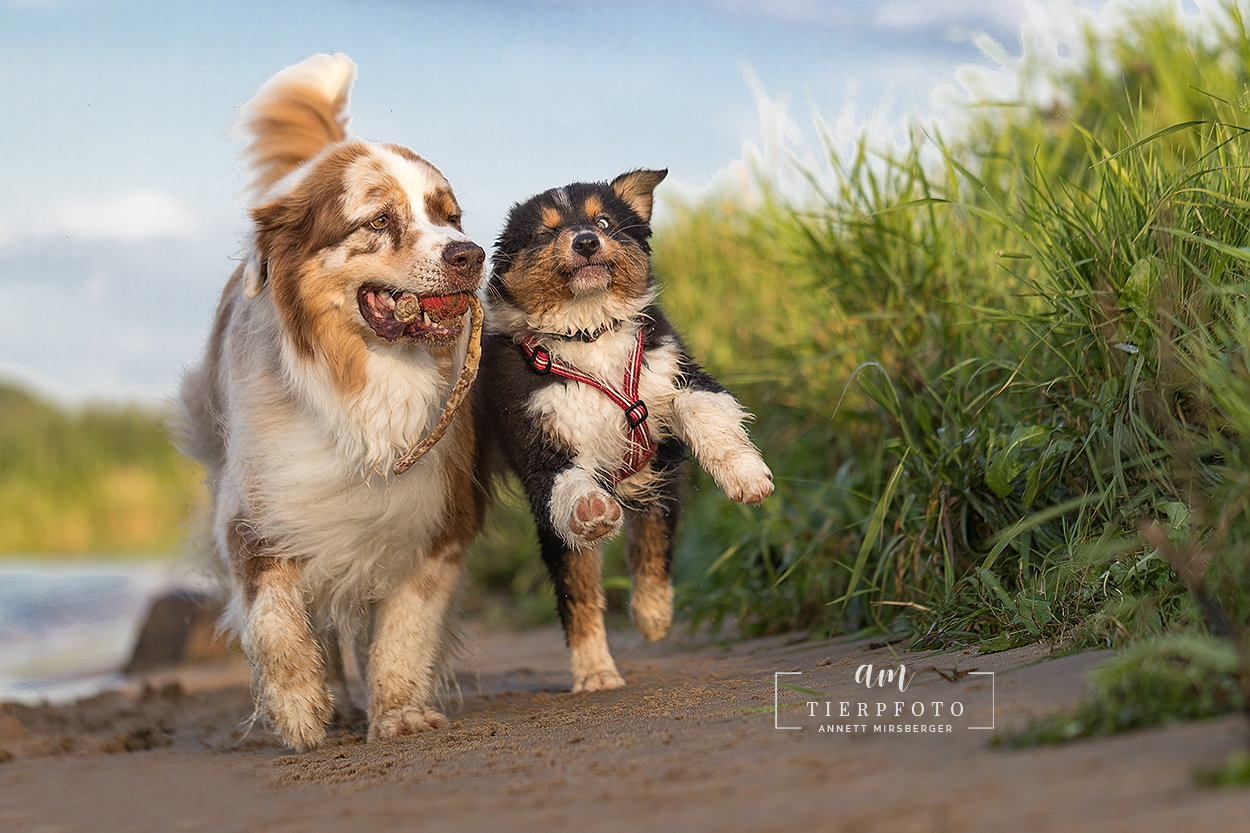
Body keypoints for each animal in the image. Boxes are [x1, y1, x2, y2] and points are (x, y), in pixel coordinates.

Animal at [178, 55, 485, 750]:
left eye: (450, 218)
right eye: (379, 220)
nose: (471, 254)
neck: (365, 386)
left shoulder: (434, 514)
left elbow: (405, 628)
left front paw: (398, 711)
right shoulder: (261, 503)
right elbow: (273, 616)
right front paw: (297, 706)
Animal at [480, 168, 765, 685]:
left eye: (604, 221)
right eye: (546, 232)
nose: (586, 242)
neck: (589, 335)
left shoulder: (675, 382)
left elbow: (704, 414)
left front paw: (747, 476)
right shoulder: (540, 446)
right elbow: (577, 564)